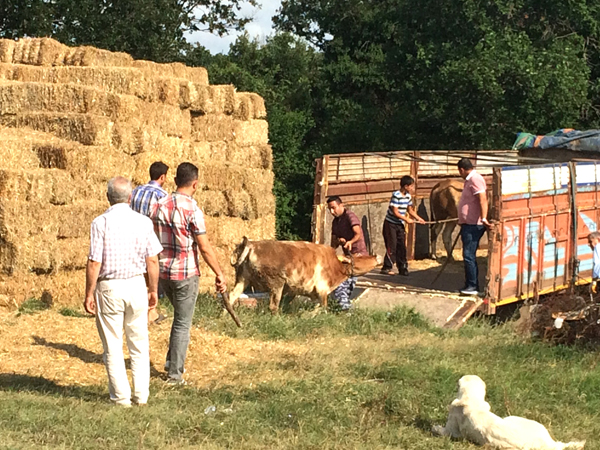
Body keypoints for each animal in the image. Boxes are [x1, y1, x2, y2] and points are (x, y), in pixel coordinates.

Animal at [227, 237, 378, 314]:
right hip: (276, 284)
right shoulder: (322, 289)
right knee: (273, 306)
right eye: (358, 257)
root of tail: (250, 244)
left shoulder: (293, 290)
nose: (376, 256)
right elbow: (323, 308)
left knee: (230, 298)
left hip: (242, 279)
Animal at [432, 372, 584, 450]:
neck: (472, 400)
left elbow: (441, 430)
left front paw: (434, 427)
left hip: (512, 418)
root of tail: (549, 444)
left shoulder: (451, 430)